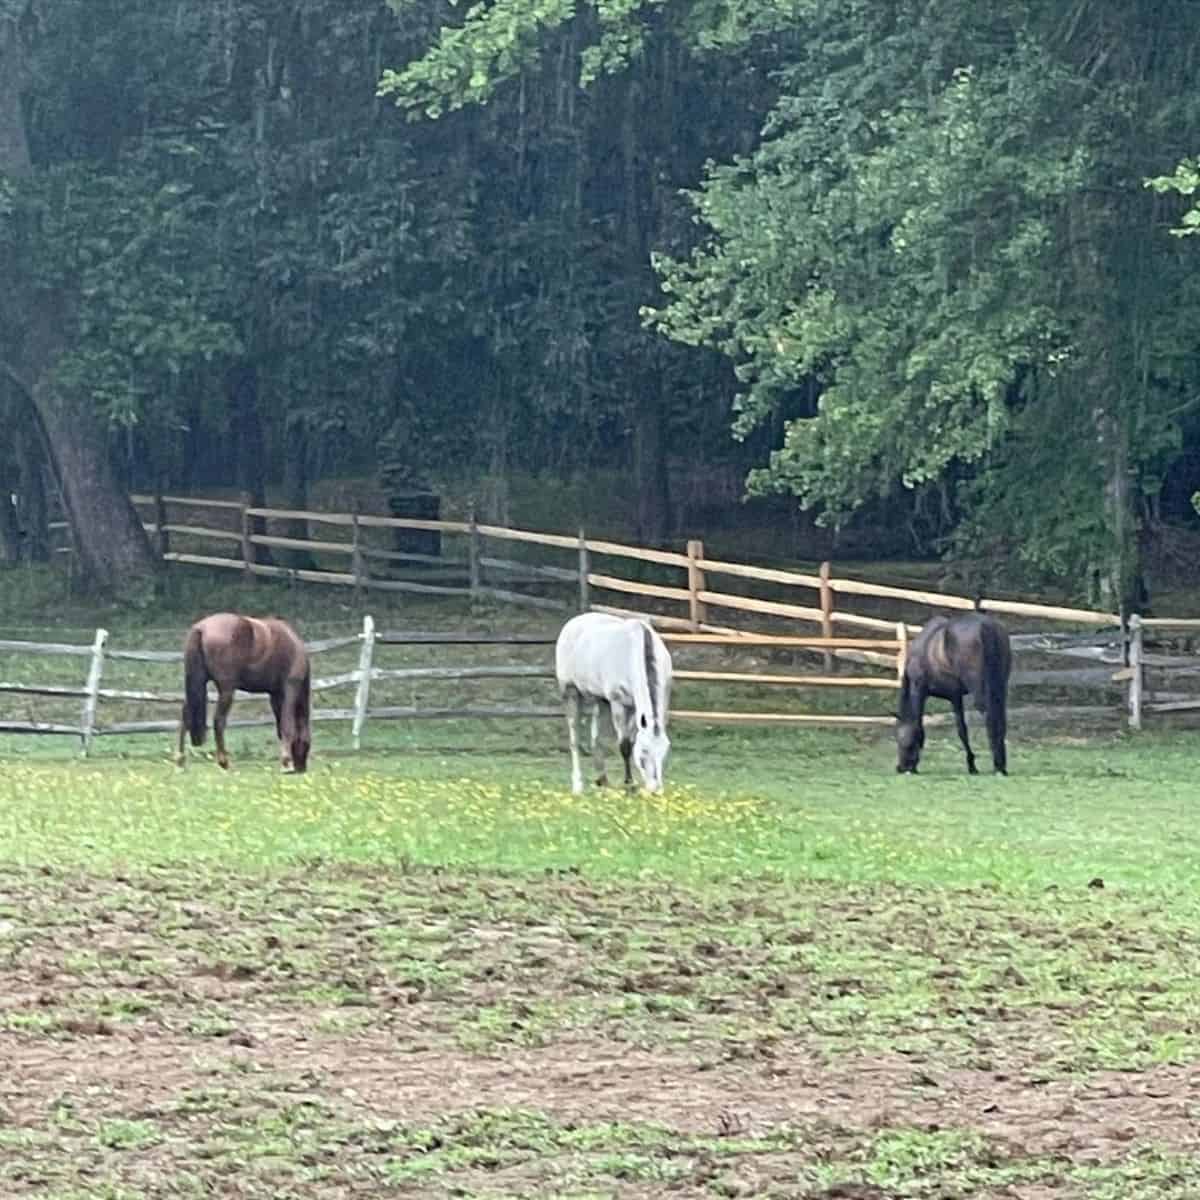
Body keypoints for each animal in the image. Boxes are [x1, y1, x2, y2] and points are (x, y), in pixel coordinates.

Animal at [176, 614, 312, 772]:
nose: (301, 768)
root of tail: (201, 628)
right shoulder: (290, 687)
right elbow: (287, 724)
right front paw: (286, 763)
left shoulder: (276, 695)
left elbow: (280, 727)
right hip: (227, 690)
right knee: (219, 721)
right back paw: (224, 762)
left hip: (196, 685)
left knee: (186, 717)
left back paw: (180, 762)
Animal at [554, 614, 676, 792]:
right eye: (644, 753)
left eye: (664, 753)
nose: (655, 790)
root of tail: (573, 622)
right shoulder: (618, 703)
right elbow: (624, 745)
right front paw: (629, 783)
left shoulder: (639, 708)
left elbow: (630, 741)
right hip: (571, 692)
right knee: (574, 738)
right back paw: (577, 785)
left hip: (600, 700)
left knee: (596, 738)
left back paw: (602, 779)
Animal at [897, 609, 1008, 777]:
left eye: (900, 741)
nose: (900, 768)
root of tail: (986, 626)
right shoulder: (955, 697)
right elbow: (962, 730)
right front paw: (972, 765)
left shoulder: (919, 690)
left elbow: (918, 726)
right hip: (1000, 688)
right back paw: (1002, 766)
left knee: (990, 717)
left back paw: (998, 766)